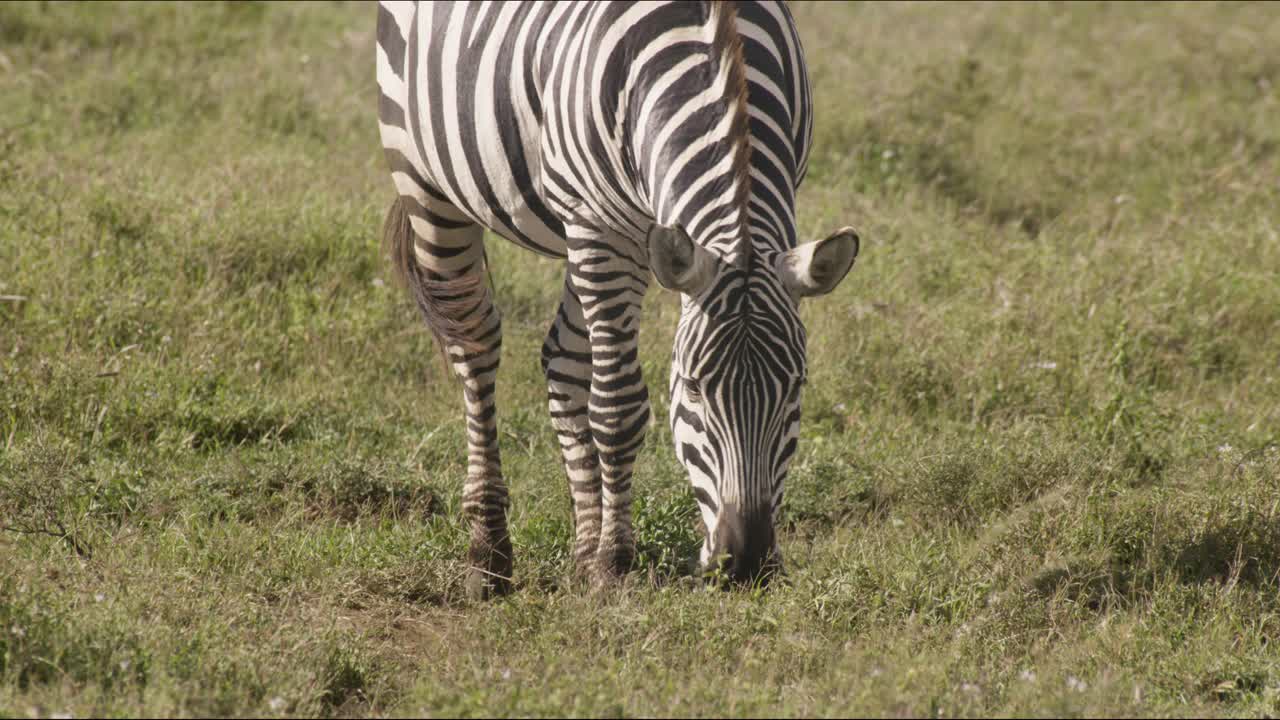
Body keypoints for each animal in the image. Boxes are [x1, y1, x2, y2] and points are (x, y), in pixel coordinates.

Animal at [378, 0, 860, 594]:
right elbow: (618, 408)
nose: (745, 563)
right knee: (476, 346)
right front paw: (613, 563)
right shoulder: (602, 226)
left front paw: (598, 557)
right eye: (693, 388)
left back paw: (582, 546)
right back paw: (489, 555)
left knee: (563, 358)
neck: (717, 45)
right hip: (427, 178)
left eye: (796, 387)